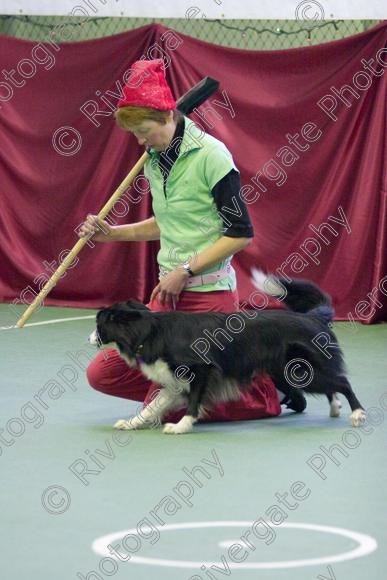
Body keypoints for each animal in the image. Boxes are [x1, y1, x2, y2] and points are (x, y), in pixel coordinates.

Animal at [88, 274, 366, 436]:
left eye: (98, 324)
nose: (89, 338)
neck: (149, 330)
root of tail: (313, 317)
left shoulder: (202, 370)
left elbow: (193, 401)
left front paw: (181, 425)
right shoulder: (176, 382)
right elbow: (154, 404)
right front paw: (131, 423)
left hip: (298, 369)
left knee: (342, 381)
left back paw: (357, 413)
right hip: (290, 370)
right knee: (331, 383)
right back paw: (335, 407)